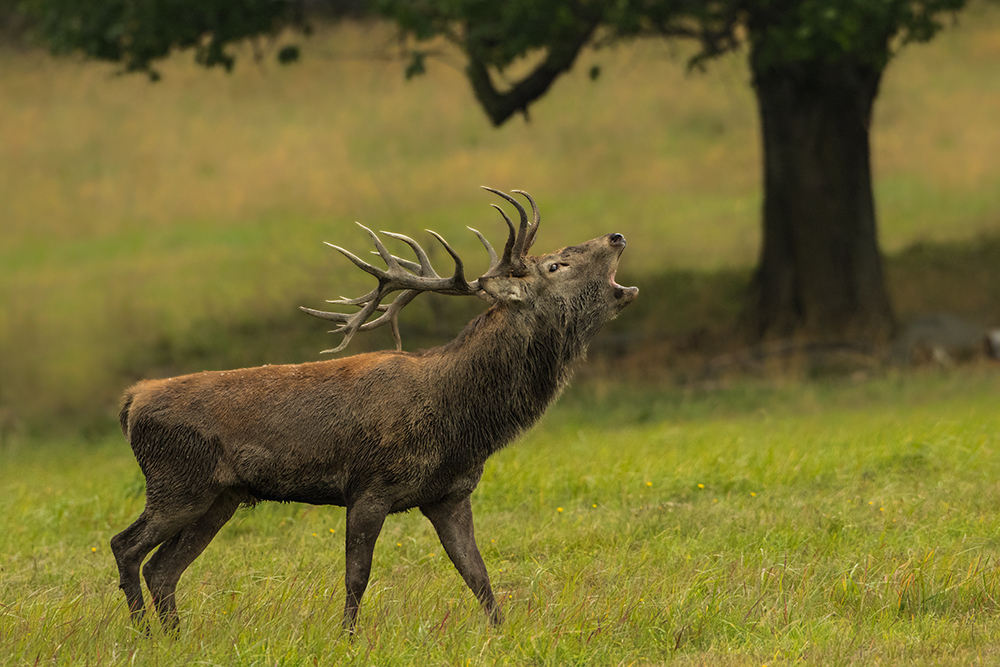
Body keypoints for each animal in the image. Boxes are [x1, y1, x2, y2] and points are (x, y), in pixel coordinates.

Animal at [111, 187, 640, 632]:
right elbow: (357, 575)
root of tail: (132, 401)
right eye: (555, 265)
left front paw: (502, 634)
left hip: (220, 496)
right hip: (176, 482)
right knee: (126, 546)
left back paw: (174, 636)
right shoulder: (368, 484)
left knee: (162, 568)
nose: (616, 235)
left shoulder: (450, 494)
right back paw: (143, 634)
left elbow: (478, 574)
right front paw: (346, 638)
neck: (460, 422)